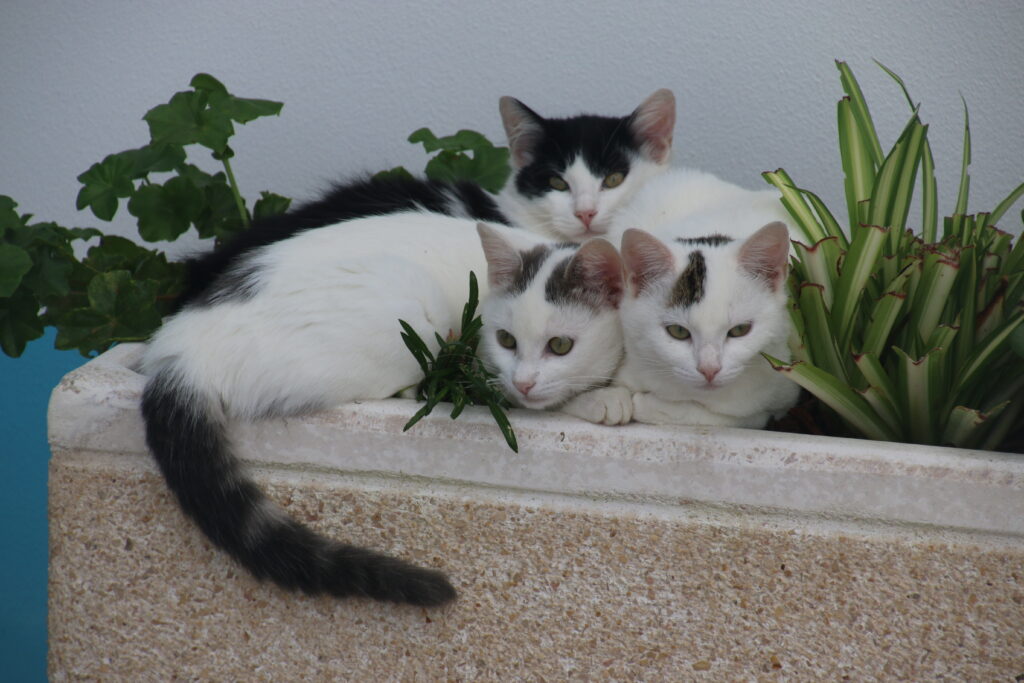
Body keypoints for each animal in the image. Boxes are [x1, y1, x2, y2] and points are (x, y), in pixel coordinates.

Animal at [140, 93, 667, 606]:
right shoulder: (477, 363)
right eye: (507, 341)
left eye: (560, 344)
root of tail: (179, 348)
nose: (524, 380)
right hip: (409, 308)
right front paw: (602, 398)